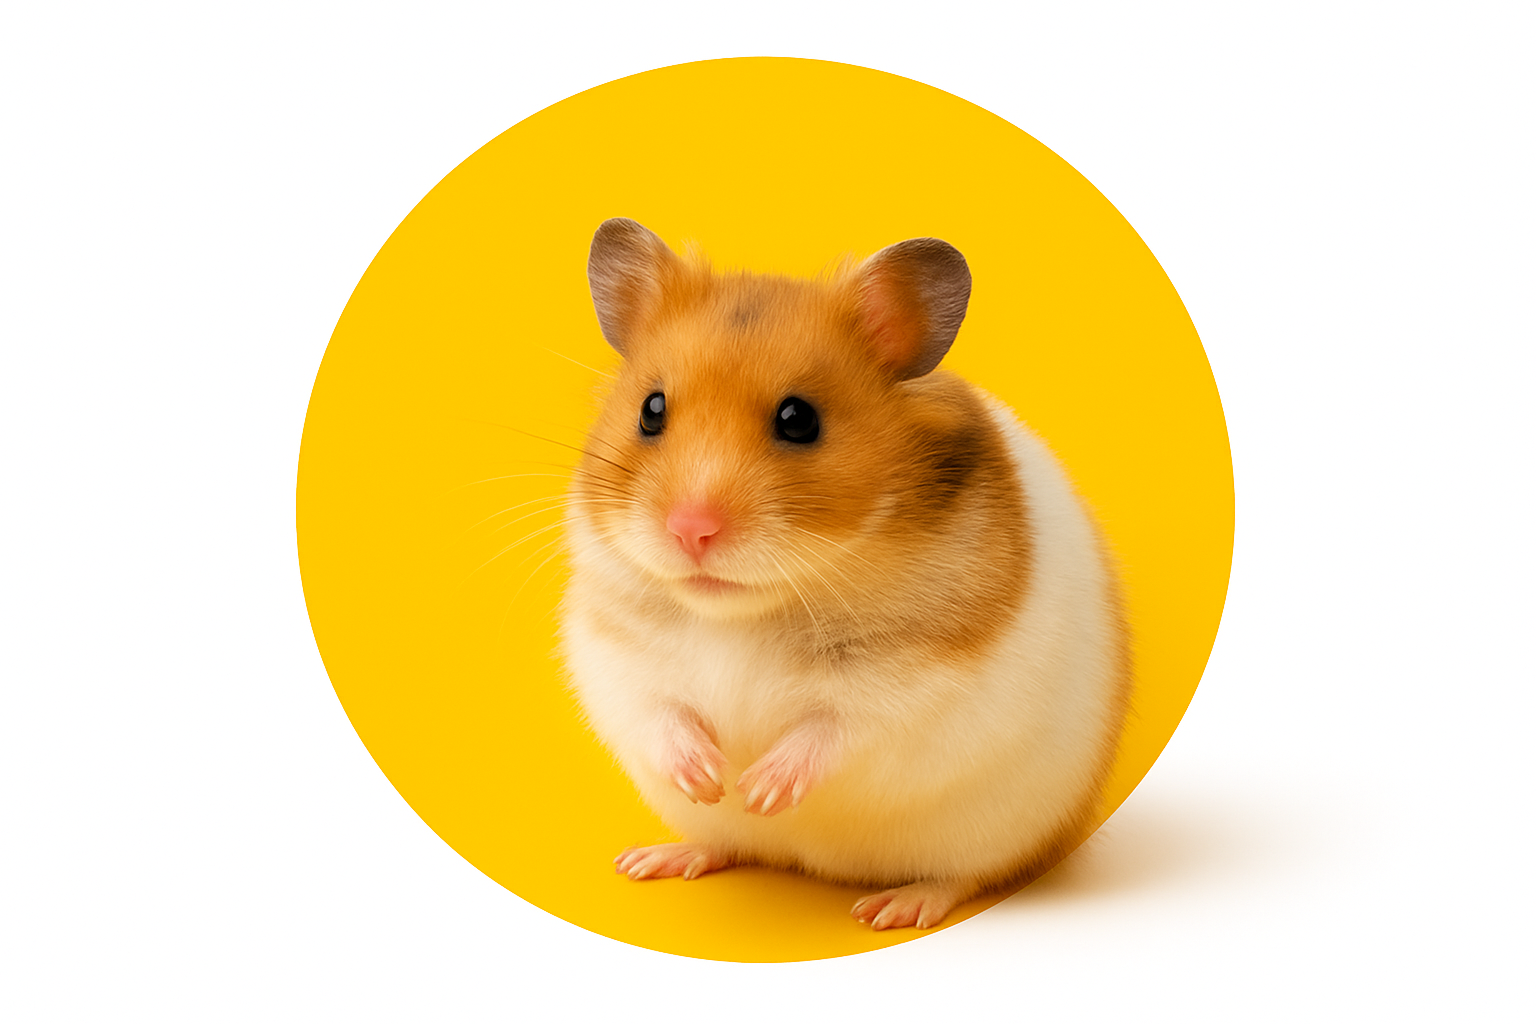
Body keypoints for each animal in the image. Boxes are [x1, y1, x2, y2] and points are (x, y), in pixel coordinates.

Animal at [559, 218, 1131, 931]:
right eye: (651, 409)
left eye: (799, 419)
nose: (691, 529)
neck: (746, 610)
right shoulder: (617, 653)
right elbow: (656, 711)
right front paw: (711, 779)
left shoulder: (914, 689)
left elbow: (836, 728)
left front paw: (759, 788)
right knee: (726, 844)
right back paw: (656, 859)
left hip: (1000, 830)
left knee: (967, 877)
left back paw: (892, 907)